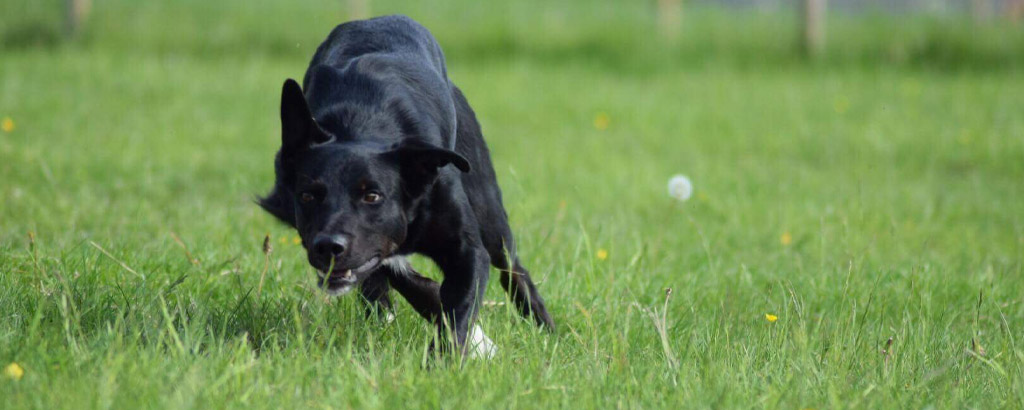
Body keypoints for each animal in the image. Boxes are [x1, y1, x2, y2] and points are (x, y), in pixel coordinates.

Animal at [260, 15, 557, 354]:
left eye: (373, 196)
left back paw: (545, 328)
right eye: (308, 196)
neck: (360, 125)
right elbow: (403, 275)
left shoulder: (466, 250)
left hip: (489, 212)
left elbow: (457, 313)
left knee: (512, 268)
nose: (329, 247)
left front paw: (453, 355)